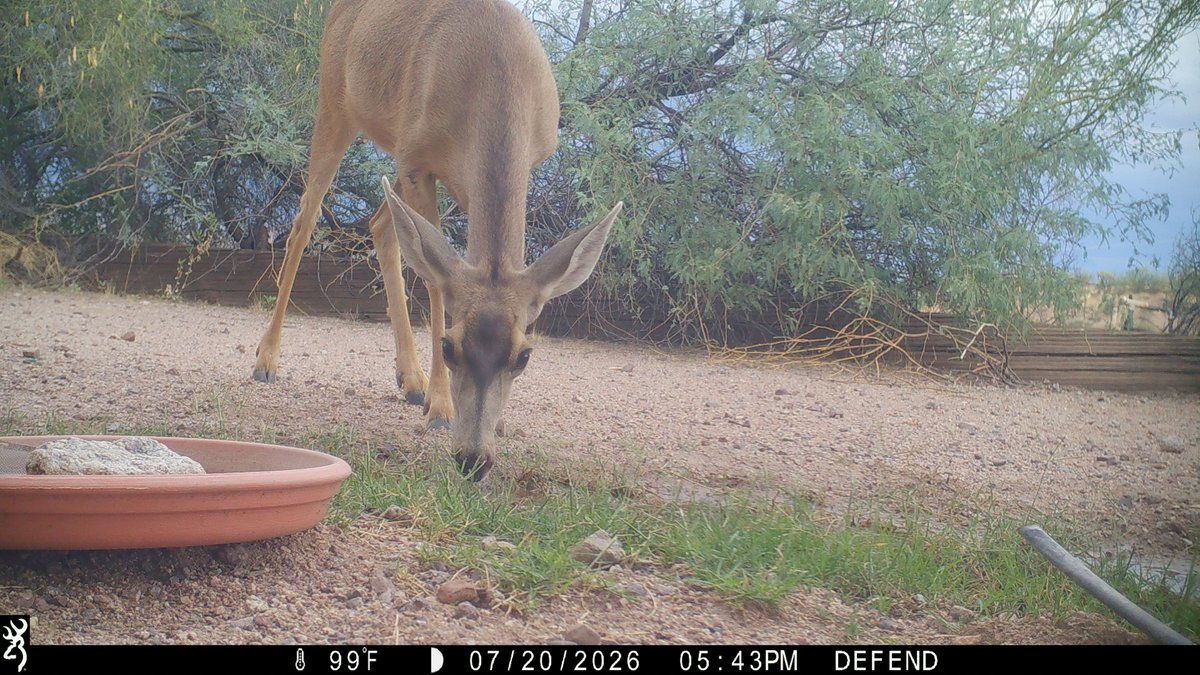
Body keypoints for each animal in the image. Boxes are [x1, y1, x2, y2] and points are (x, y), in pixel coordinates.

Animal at [252, 0, 622, 479]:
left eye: (524, 356)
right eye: (449, 346)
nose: (473, 460)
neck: (494, 72)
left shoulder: (517, 160)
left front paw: (488, 419)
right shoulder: (418, 160)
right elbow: (435, 283)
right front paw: (442, 408)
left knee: (380, 225)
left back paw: (411, 382)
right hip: (335, 103)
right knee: (305, 218)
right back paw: (266, 360)